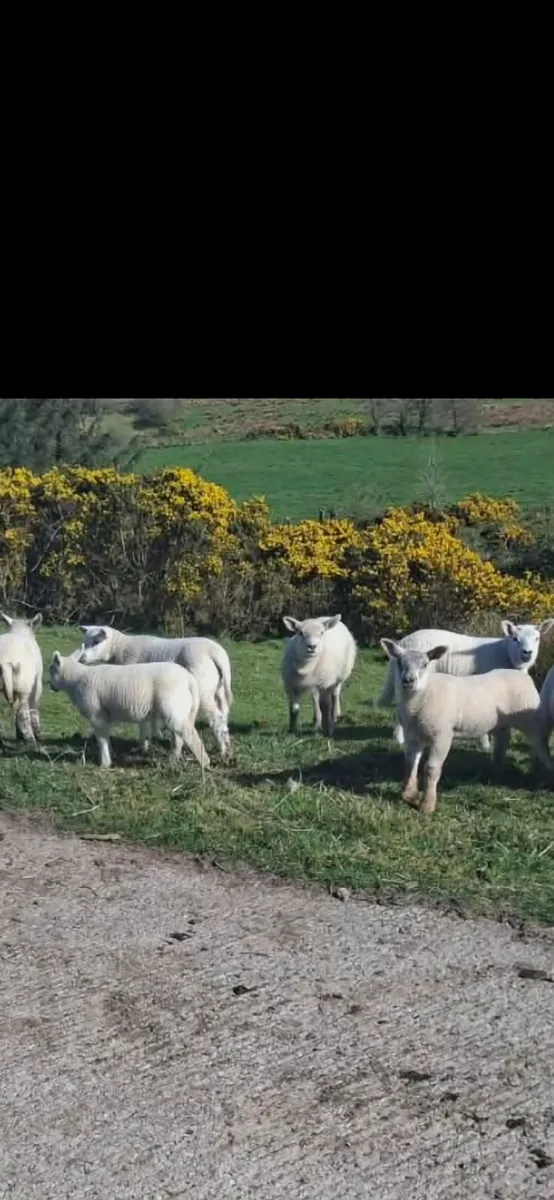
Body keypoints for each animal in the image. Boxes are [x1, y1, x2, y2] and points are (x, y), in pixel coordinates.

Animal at [0, 612, 43, 746]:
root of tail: (4, 662)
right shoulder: (37, 683)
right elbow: (34, 704)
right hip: (23, 685)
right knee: (22, 712)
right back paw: (31, 740)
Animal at [49, 651, 210, 770]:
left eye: (51, 670)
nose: (51, 687)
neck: (76, 679)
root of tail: (189, 679)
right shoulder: (104, 715)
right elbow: (106, 738)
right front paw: (110, 754)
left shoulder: (97, 714)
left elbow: (101, 739)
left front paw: (105, 763)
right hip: (179, 709)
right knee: (178, 737)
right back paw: (173, 759)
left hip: (173, 706)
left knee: (189, 735)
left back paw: (204, 762)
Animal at [77, 625, 233, 758]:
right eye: (85, 642)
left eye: (96, 642)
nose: (81, 659)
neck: (121, 648)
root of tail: (216, 653)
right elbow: (152, 717)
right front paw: (155, 735)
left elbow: (143, 721)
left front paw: (144, 744)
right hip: (219, 690)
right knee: (223, 714)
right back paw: (225, 744)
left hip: (203, 690)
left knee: (216, 717)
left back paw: (221, 749)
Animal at [378, 619, 554, 752]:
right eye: (515, 639)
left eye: (537, 638)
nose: (527, 653)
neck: (506, 653)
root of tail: (403, 641)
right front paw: (485, 742)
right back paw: (399, 738)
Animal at [380, 637, 550, 814]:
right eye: (399, 661)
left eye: (425, 664)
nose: (408, 680)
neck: (419, 699)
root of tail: (522, 675)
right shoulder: (413, 736)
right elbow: (411, 764)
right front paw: (409, 794)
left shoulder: (442, 736)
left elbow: (431, 769)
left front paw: (427, 805)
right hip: (501, 723)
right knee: (503, 742)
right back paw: (496, 771)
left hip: (532, 719)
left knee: (541, 745)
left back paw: (544, 774)